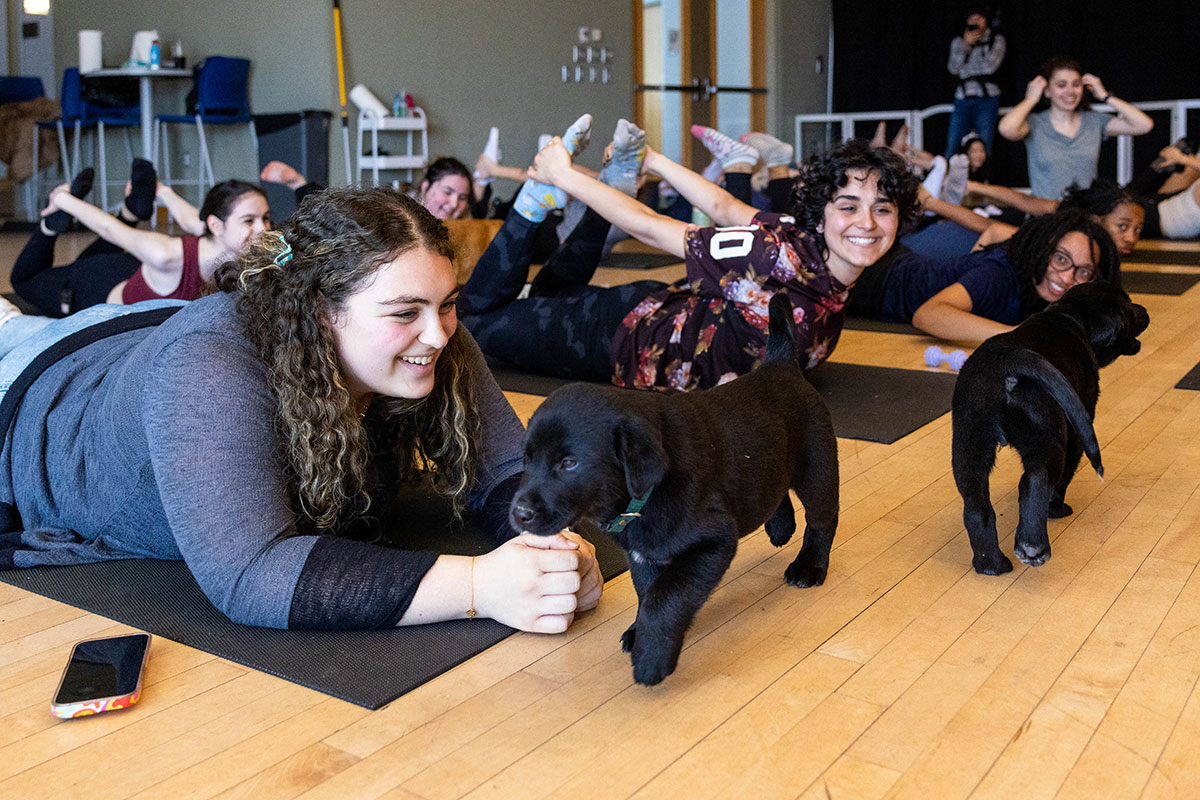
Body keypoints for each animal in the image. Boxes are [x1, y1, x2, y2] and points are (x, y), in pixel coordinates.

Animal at [511, 291, 840, 686]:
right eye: (527, 458)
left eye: (569, 464)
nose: (519, 513)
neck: (641, 500)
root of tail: (780, 364)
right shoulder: (643, 555)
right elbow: (647, 592)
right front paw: (639, 633)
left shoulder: (711, 543)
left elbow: (664, 599)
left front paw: (651, 657)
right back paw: (780, 528)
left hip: (817, 468)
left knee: (822, 519)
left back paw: (809, 567)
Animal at [950, 281, 1147, 575]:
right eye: (1129, 307)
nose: (1145, 310)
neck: (1070, 317)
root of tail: (1005, 359)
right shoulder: (1078, 427)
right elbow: (1064, 478)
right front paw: (1056, 510)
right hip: (1048, 435)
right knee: (1036, 479)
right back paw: (1033, 547)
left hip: (968, 444)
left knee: (977, 508)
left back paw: (991, 565)